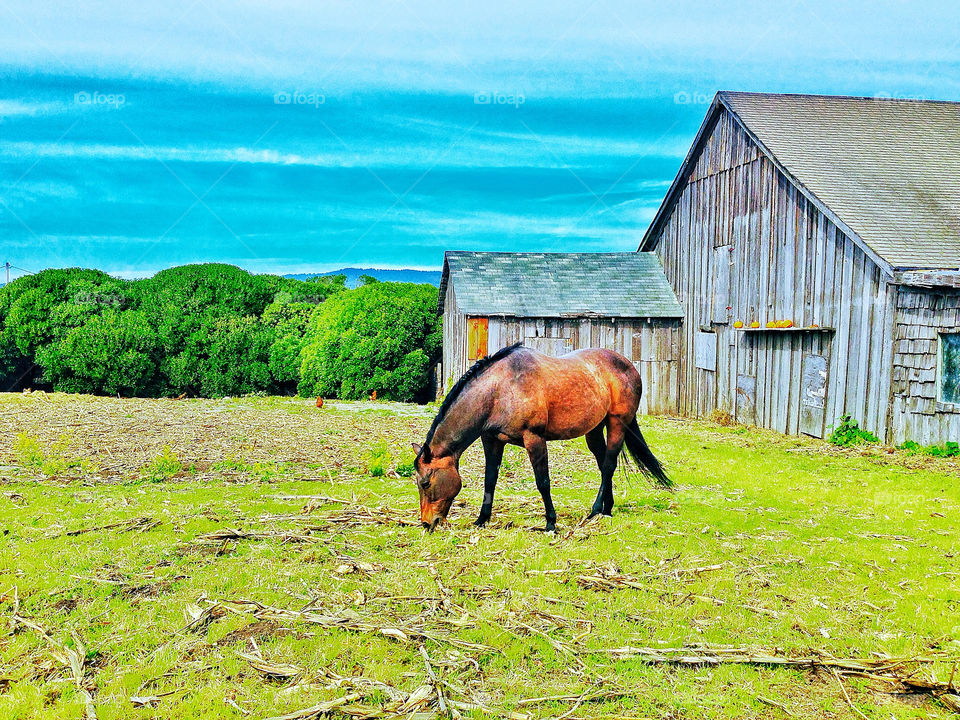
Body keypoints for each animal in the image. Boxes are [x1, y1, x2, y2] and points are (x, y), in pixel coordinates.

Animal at [410, 344, 668, 528]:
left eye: (425, 482)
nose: (426, 523)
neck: (500, 390)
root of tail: (628, 365)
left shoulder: (534, 439)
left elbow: (542, 481)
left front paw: (551, 522)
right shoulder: (491, 440)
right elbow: (490, 479)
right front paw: (482, 520)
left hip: (617, 424)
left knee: (608, 465)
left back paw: (596, 510)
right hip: (594, 430)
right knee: (603, 462)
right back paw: (607, 508)